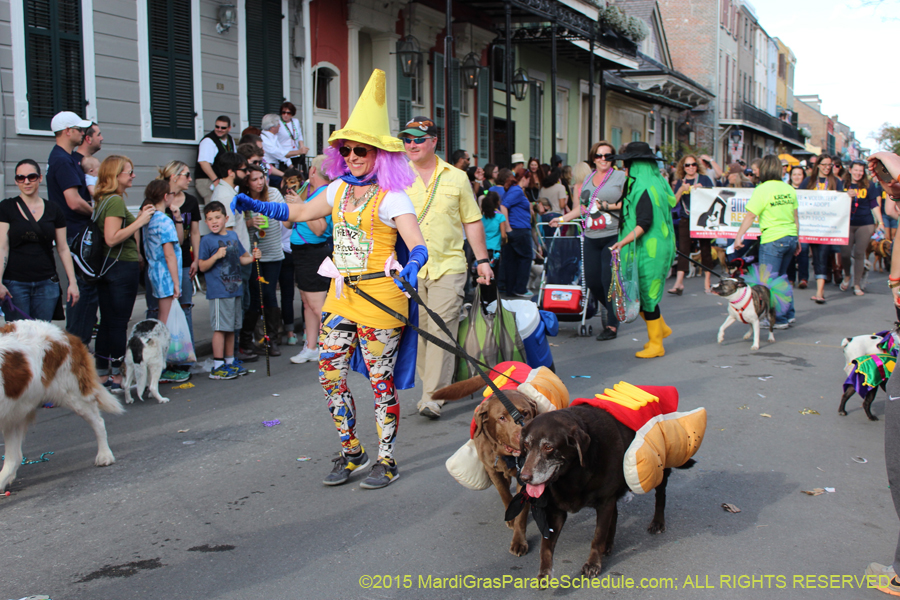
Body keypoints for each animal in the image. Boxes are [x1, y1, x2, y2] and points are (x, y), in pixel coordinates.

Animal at [0, 322, 124, 490]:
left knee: (98, 422)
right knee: (15, 456)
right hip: (16, 410)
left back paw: (105, 455)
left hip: (74, 394)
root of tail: (66, 334)